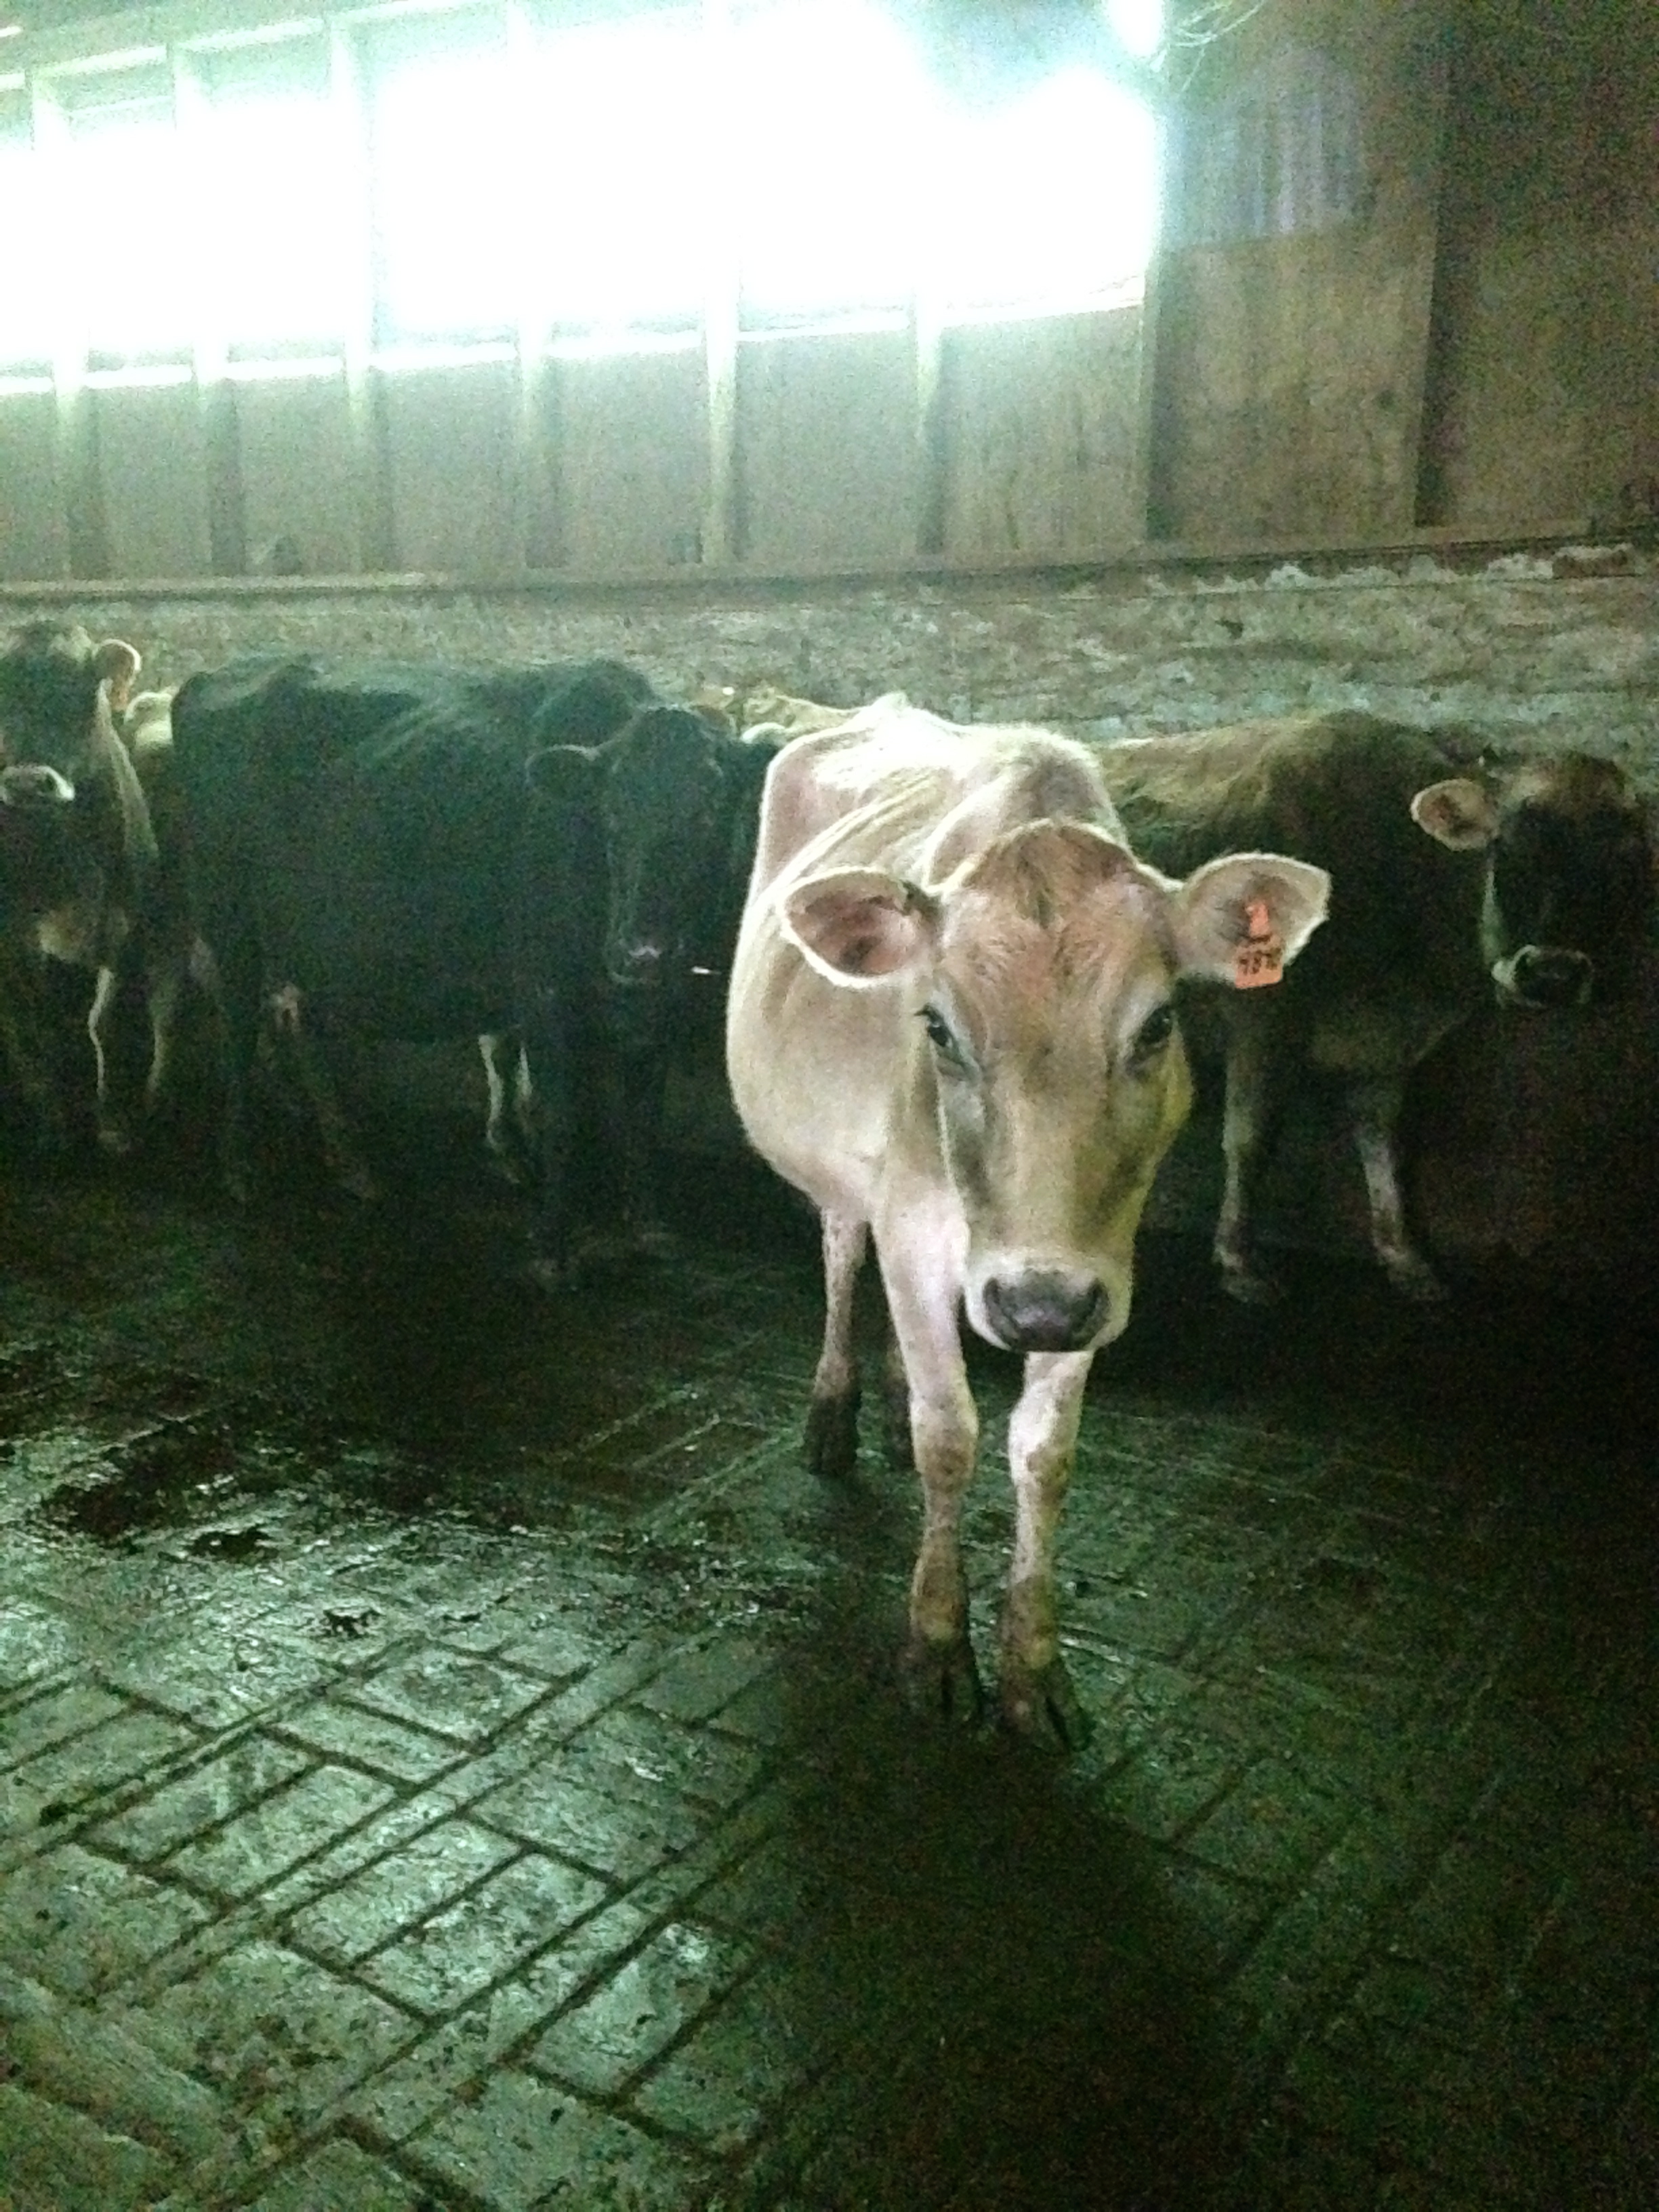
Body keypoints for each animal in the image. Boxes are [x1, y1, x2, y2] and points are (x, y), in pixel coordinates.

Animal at [0, 623, 194, 1154]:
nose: (28, 781)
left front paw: (116, 1120)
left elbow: (105, 1023)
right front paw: (51, 1125)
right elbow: (36, 1028)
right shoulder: (15, 938)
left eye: (83, 689)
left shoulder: (127, 927)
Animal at [170, 652, 772, 1282]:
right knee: (238, 1027)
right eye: (609, 813)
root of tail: (221, 675)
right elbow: (560, 1115)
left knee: (302, 1027)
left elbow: (644, 1116)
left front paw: (648, 1225)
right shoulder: (542, 987)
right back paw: (241, 1166)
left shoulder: (660, 1000)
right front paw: (553, 1245)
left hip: (308, 937)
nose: (639, 951)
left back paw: (351, 1162)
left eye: (710, 813)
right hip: (228, 914)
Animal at [726, 701, 1329, 1745]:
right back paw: (835, 1413)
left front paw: (1033, 1670)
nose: (1034, 1309)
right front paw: (937, 1646)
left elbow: (1044, 1454)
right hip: (842, 1173)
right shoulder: (915, 1227)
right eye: (934, 1026)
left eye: (1158, 1025)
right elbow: (949, 1435)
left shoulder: (1097, 1266)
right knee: (843, 1251)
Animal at [1100, 713, 1656, 1302]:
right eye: (1507, 849)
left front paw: (1405, 1258)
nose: (1553, 973)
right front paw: (1239, 1262)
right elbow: (1251, 1138)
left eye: (1627, 867)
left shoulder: (1386, 1043)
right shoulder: (1265, 1012)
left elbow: (1382, 1144)